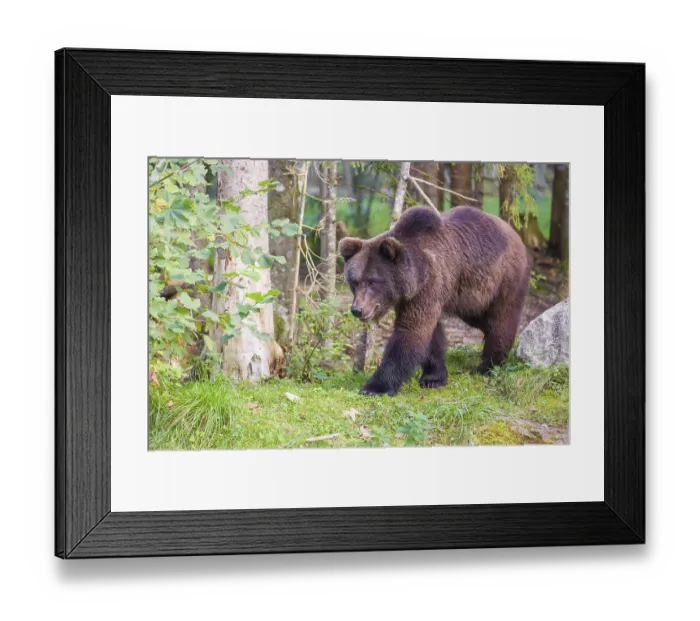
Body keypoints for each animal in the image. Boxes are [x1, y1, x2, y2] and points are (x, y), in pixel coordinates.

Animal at [339, 205, 529, 396]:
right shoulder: (414, 298)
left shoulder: (429, 286)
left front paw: (375, 387)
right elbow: (431, 337)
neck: (413, 279)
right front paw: (433, 377)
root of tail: (514, 232)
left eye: (373, 281)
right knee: (483, 319)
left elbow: (411, 331)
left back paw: (488, 366)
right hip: (470, 298)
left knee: (501, 320)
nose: (357, 309)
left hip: (504, 279)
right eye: (354, 282)